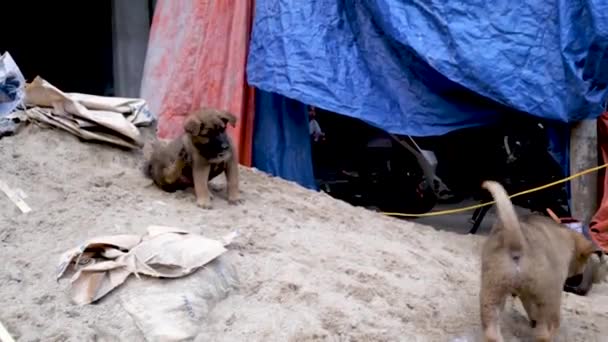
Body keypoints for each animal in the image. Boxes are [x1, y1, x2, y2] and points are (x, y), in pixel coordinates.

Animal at [480, 180, 592, 340]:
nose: (578, 280)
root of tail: (517, 243)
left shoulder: (525, 294)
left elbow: (530, 309)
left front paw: (532, 320)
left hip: (492, 291)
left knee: (491, 330)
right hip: (548, 297)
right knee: (546, 330)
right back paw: (548, 334)